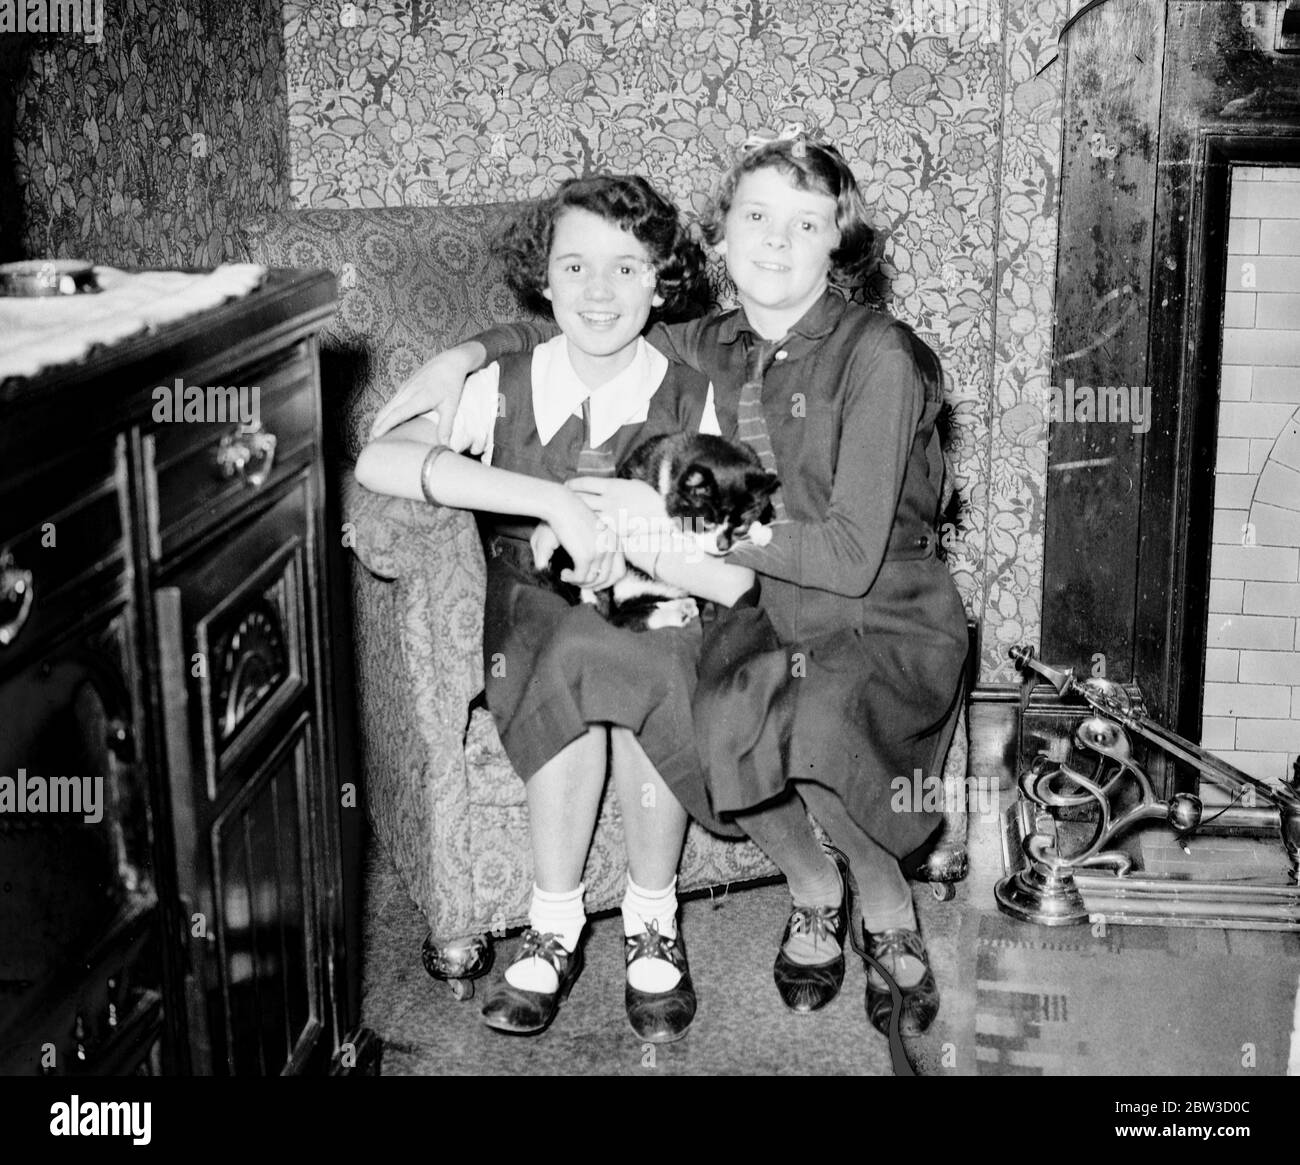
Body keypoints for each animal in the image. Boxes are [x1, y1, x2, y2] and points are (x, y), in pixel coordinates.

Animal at [551, 429, 780, 629]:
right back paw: (676, 613)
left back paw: (684, 608)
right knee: (621, 617)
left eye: (741, 523)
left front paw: (762, 526)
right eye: (706, 523)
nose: (722, 546)